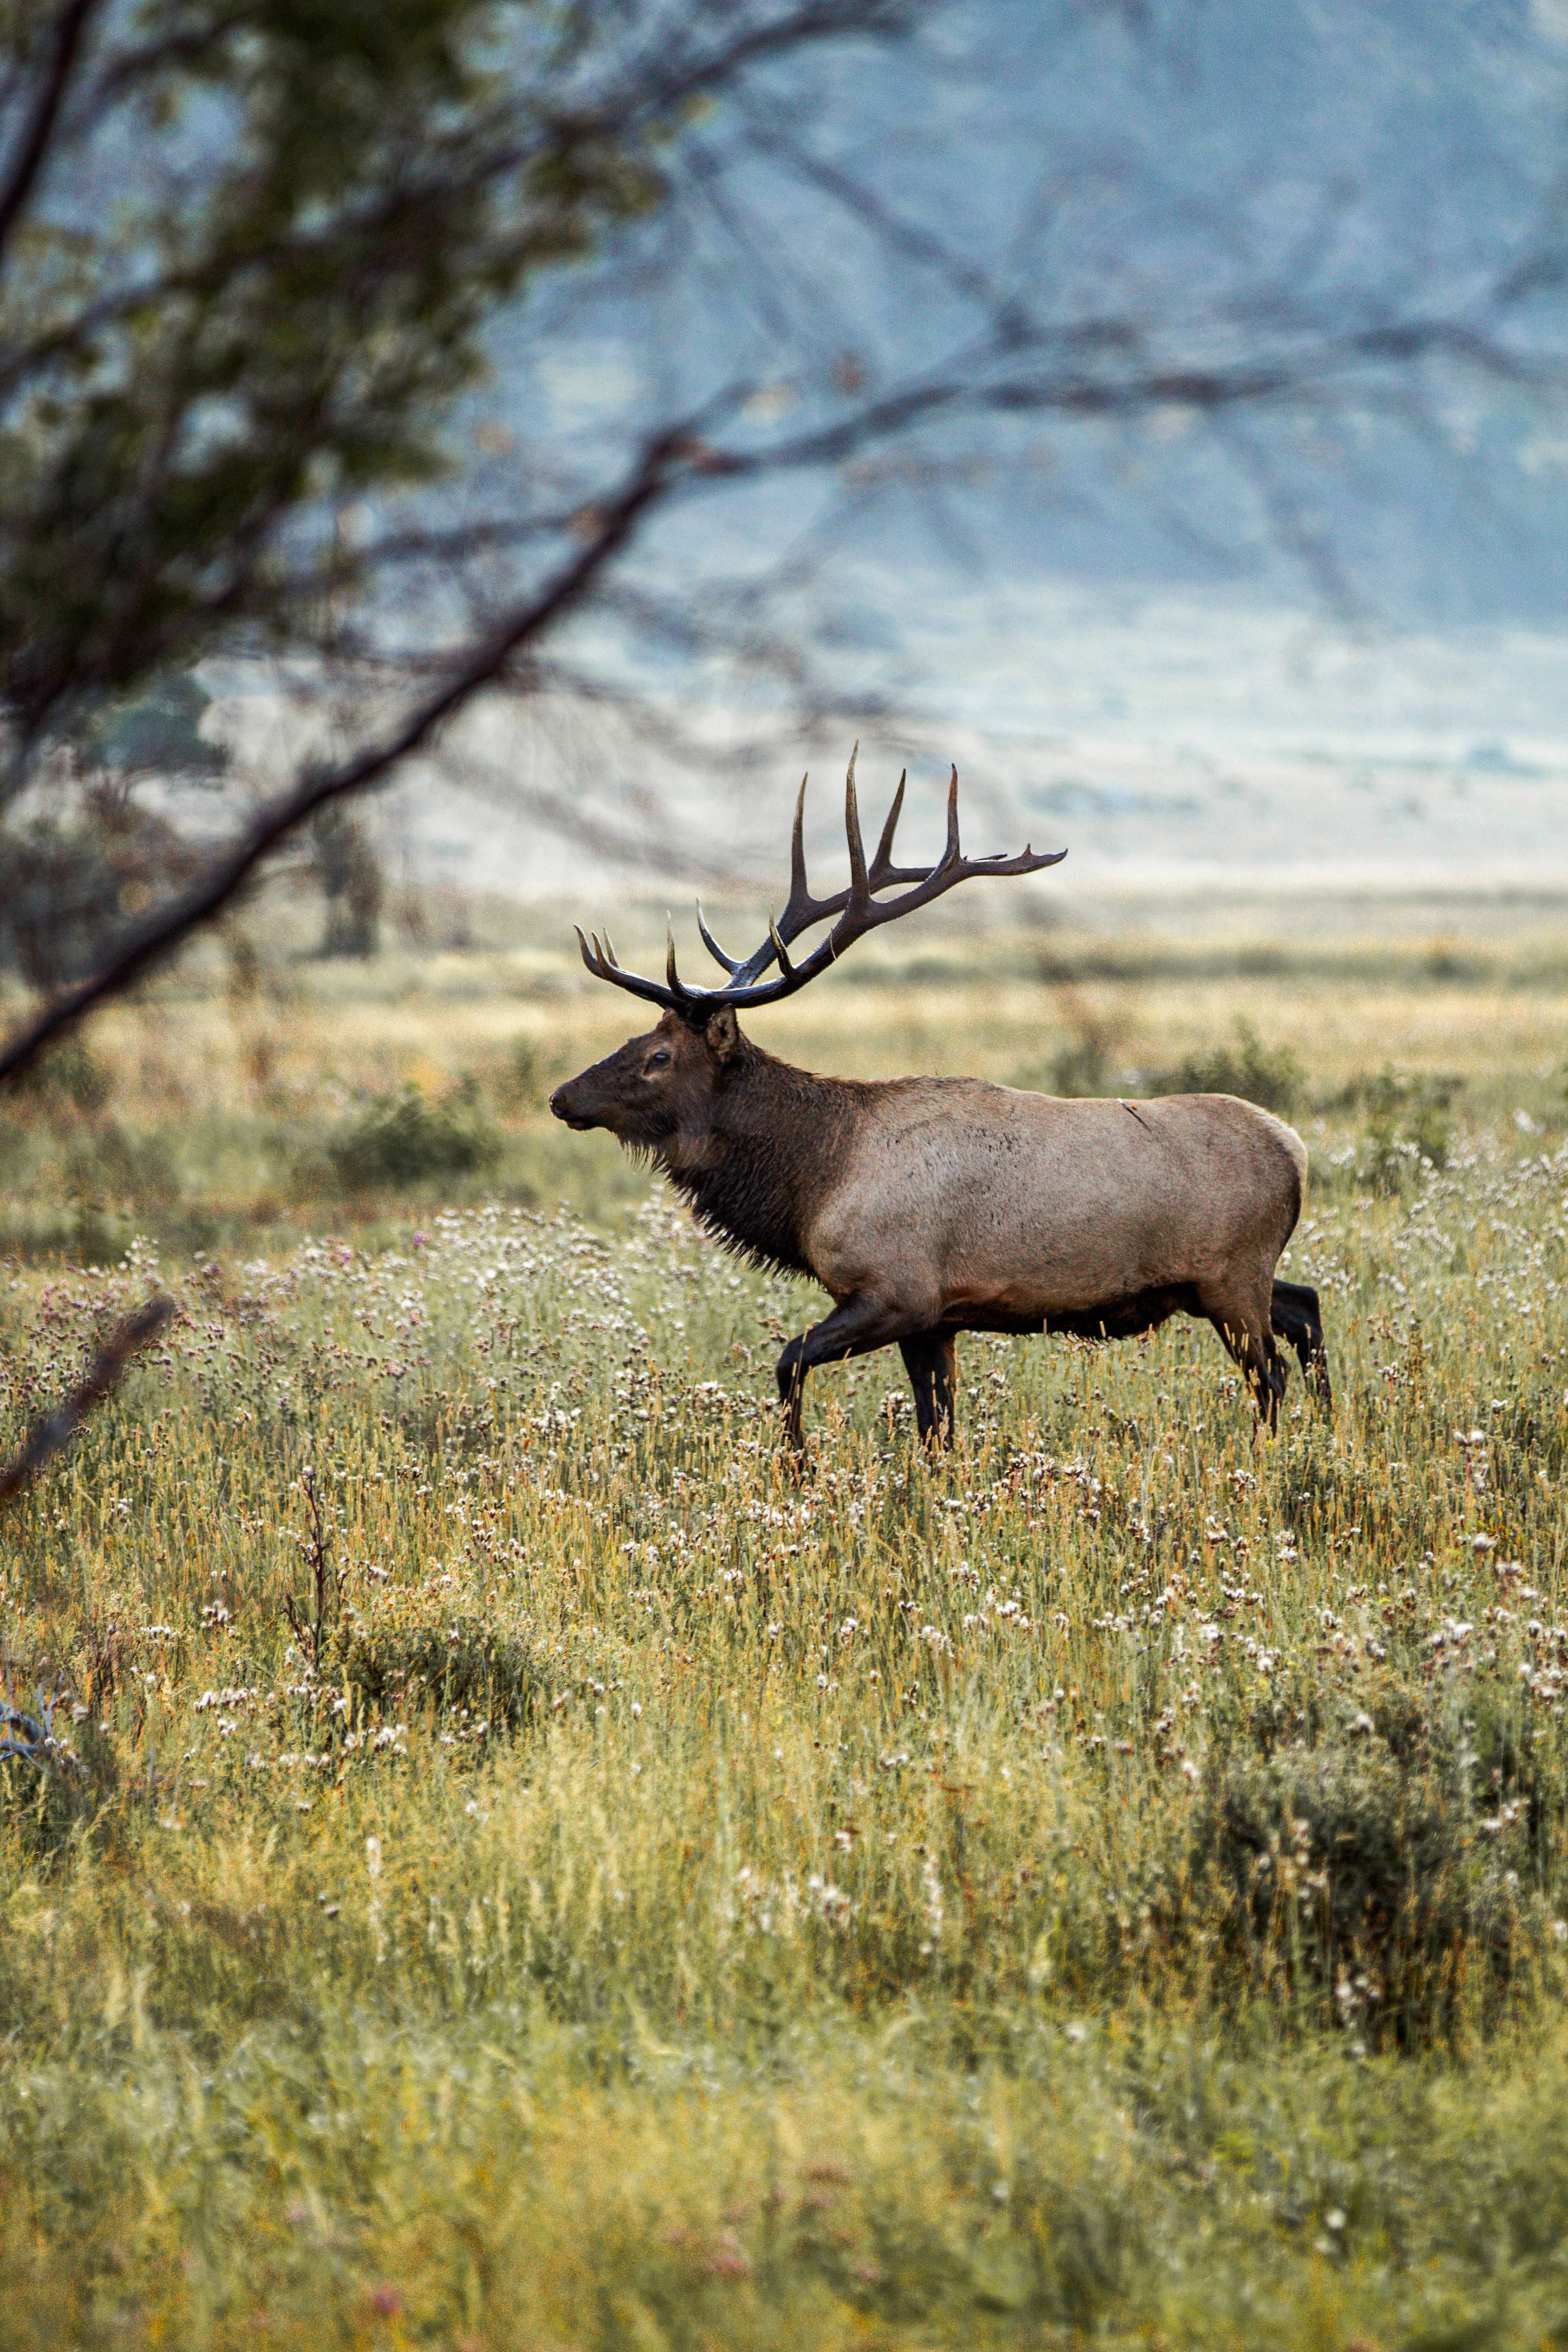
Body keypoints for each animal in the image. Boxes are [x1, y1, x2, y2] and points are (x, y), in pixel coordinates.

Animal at [550, 755, 1331, 1453]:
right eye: (638, 1036)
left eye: (659, 1057)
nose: (563, 1097)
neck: (813, 1183)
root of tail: (1294, 1150)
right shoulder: (936, 1320)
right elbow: (937, 1433)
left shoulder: (896, 1292)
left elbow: (788, 1363)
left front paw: (798, 1468)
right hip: (1228, 1279)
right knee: (1307, 1306)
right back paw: (1328, 1432)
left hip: (1231, 1275)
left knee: (1272, 1375)